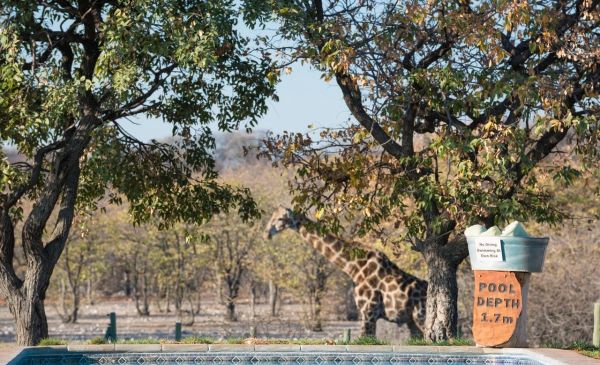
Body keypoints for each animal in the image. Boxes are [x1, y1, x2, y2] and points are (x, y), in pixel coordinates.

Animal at [264, 206, 428, 336]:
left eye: (280, 218)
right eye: (272, 216)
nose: (266, 234)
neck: (353, 266)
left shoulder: (369, 312)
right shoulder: (365, 313)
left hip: (421, 318)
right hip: (412, 322)